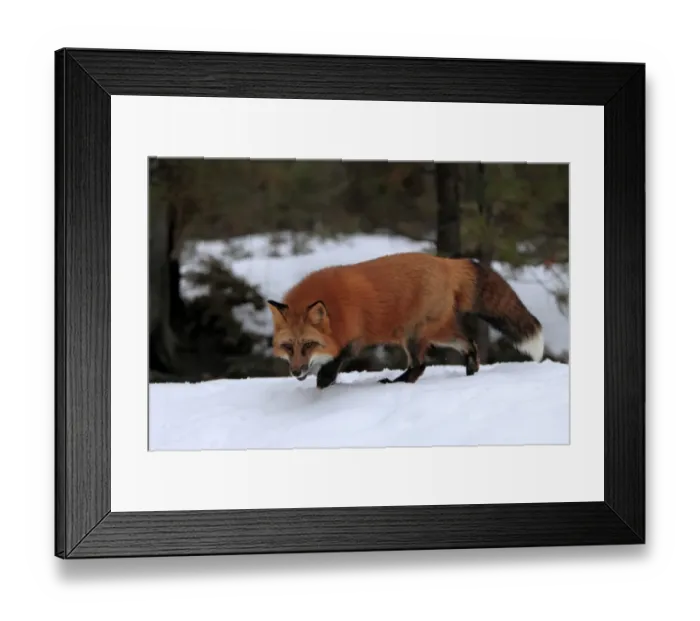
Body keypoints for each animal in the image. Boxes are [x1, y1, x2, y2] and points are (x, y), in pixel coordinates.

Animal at [267, 252, 544, 389]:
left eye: (309, 345)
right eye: (288, 347)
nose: (296, 371)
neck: (336, 309)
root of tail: (447, 263)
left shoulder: (355, 338)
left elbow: (335, 361)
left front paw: (324, 381)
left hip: (414, 334)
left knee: (420, 365)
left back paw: (396, 384)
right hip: (436, 332)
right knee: (469, 343)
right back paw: (470, 371)